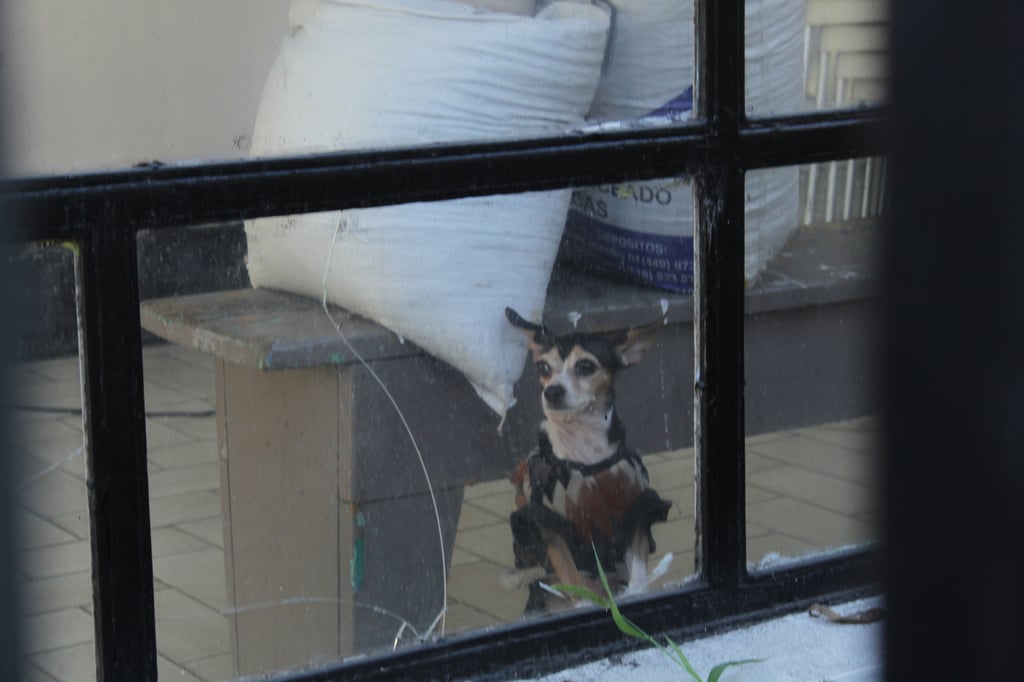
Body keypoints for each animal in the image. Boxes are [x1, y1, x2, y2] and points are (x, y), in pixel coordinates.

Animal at [503, 305, 671, 606]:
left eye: (585, 366)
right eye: (542, 367)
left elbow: (638, 578)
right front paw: (587, 603)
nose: (552, 391)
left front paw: (633, 597)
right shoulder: (552, 531)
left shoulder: (634, 517)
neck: (584, 459)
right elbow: (575, 583)